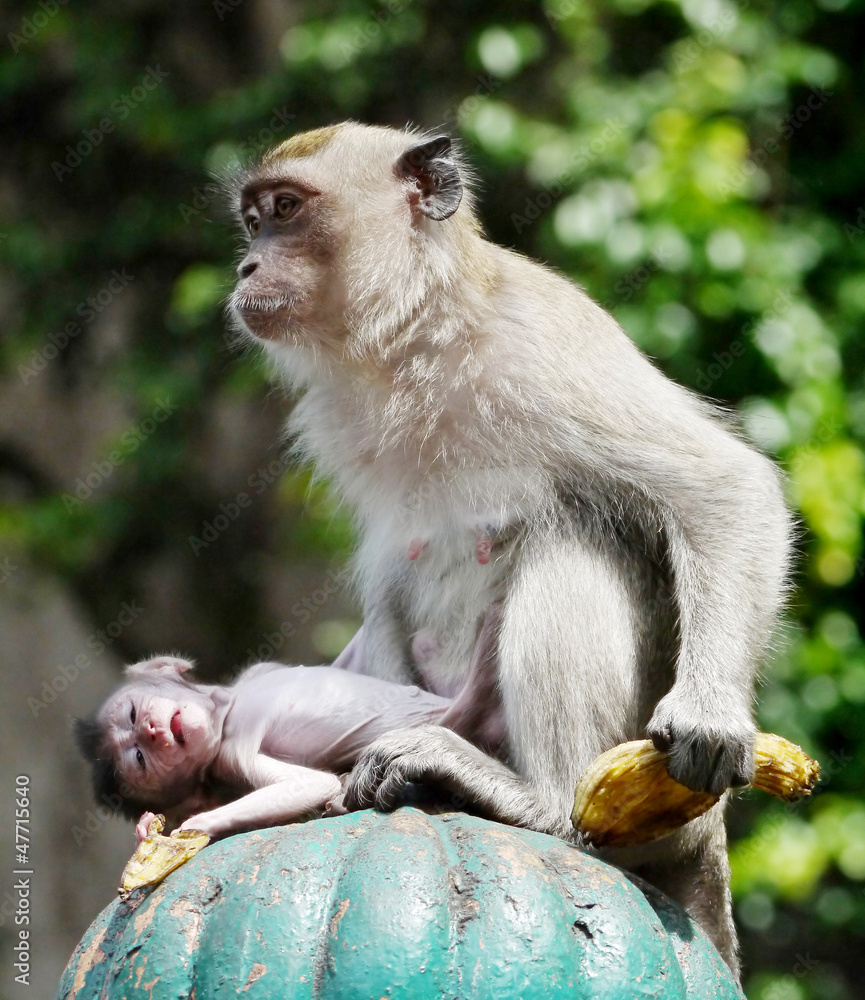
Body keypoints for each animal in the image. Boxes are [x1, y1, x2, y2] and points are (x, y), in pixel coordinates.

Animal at [75, 627, 504, 842]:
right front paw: (193, 827)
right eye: (139, 759)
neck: (227, 711)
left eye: (133, 714)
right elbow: (310, 785)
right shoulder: (231, 754)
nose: (151, 731)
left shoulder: (258, 671)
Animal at [225, 122, 792, 974]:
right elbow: (388, 575)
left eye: (288, 210)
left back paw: (542, 804)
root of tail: (707, 844)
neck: (418, 335)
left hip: (659, 811)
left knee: (575, 537)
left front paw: (709, 715)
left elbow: (722, 488)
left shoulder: (544, 347)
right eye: (254, 220)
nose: (246, 266)